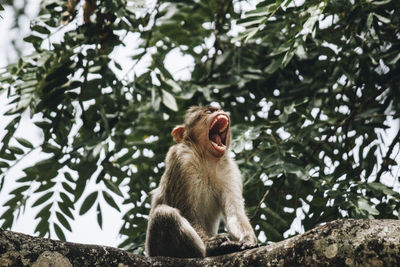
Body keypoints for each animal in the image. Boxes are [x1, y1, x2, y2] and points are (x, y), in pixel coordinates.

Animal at [145, 105, 258, 258]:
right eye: (208, 112)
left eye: (216, 109)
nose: (219, 111)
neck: (207, 160)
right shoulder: (181, 157)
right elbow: (186, 210)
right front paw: (210, 243)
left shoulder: (230, 170)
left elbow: (235, 213)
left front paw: (248, 239)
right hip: (155, 249)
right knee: (164, 213)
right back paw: (210, 250)